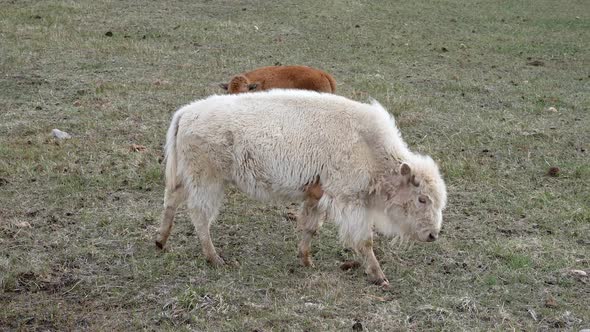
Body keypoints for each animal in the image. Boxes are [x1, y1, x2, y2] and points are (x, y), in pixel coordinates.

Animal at [157, 89, 448, 286]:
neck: (368, 146)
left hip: (186, 178)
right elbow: (365, 240)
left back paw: (161, 242)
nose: (433, 235)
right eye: (422, 199)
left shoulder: (316, 196)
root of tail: (187, 112)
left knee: (170, 201)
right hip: (208, 182)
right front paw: (379, 276)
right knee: (200, 216)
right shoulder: (349, 201)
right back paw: (215, 259)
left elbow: (310, 228)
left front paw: (306, 260)